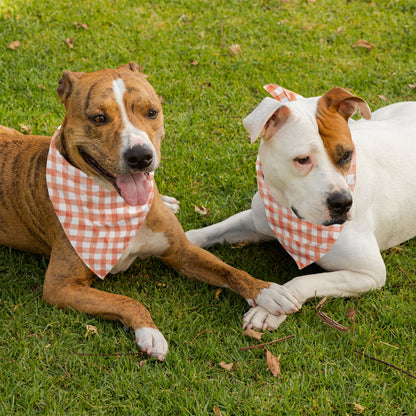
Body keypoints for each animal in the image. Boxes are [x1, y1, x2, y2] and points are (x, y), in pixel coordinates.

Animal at [0, 63, 300, 360]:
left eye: (152, 112)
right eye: (98, 118)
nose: (140, 156)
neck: (119, 208)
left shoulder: (181, 251)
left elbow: (230, 270)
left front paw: (268, 291)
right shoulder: (60, 285)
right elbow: (126, 301)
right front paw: (149, 332)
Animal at [187, 86, 416, 330]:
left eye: (347, 155)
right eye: (303, 159)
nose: (343, 203)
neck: (292, 218)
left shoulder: (370, 273)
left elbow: (304, 280)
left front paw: (269, 308)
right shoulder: (256, 221)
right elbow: (209, 231)